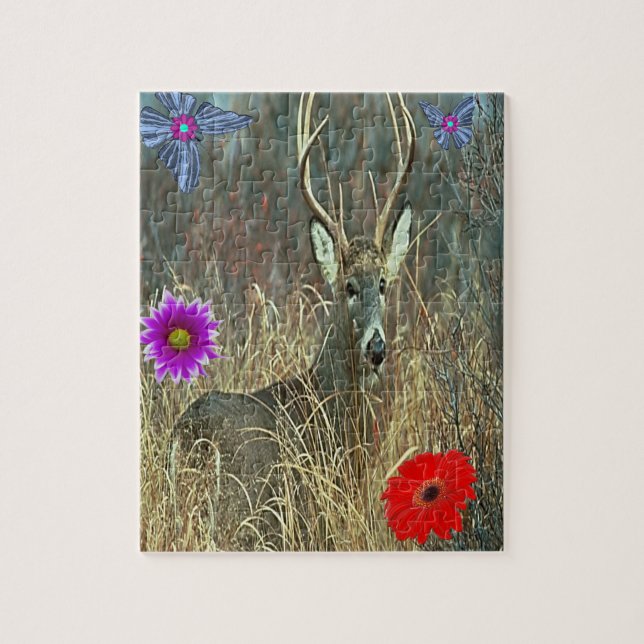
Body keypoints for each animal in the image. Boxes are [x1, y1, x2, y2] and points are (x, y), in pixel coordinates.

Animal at [171, 93, 417, 546]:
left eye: (383, 283)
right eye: (348, 287)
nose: (376, 347)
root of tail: (195, 435)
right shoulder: (313, 523)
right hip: (246, 516)